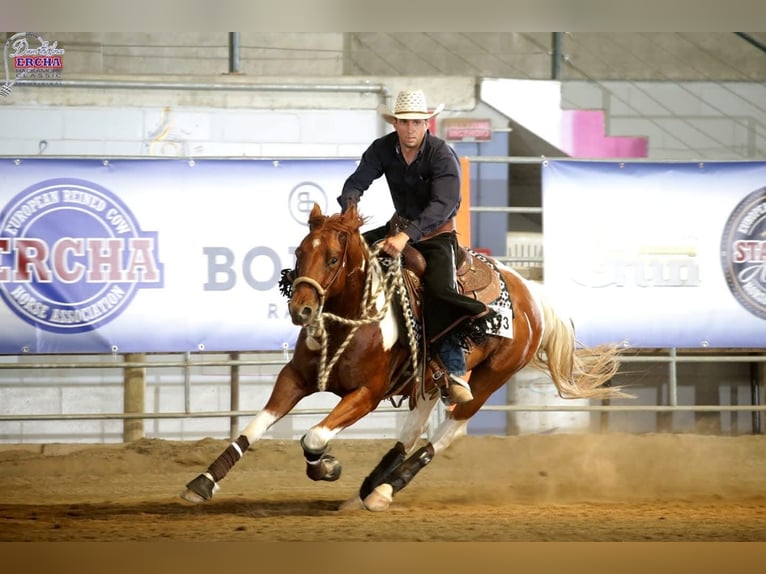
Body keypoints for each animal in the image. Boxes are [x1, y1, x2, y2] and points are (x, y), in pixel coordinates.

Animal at [181, 202, 630, 511]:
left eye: (332, 258)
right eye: (299, 252)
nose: (301, 310)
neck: (352, 320)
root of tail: (531, 294)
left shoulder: (366, 394)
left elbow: (314, 437)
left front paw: (326, 466)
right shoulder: (294, 378)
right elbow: (254, 426)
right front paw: (202, 482)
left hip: (490, 380)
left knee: (448, 433)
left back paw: (382, 490)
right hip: (435, 378)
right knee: (413, 429)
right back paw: (367, 489)